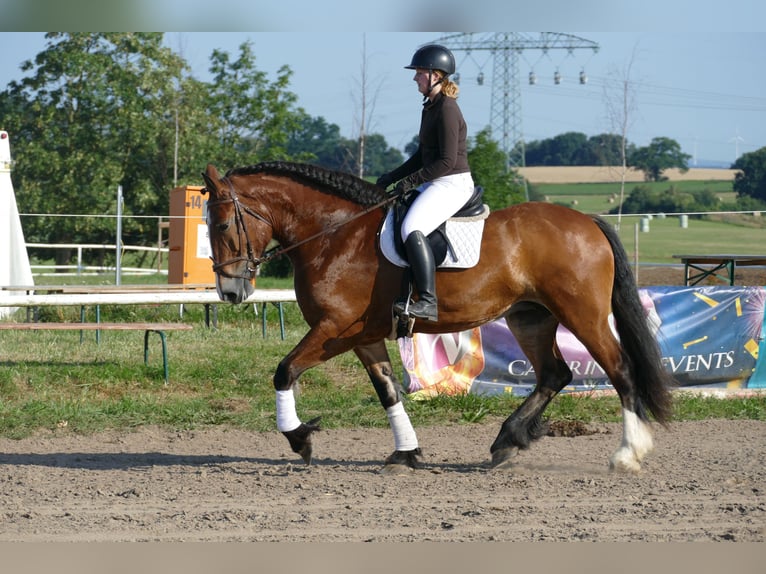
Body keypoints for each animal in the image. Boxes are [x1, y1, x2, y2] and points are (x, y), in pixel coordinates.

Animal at [201, 161, 674, 473]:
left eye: (221, 226)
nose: (230, 292)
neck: (334, 234)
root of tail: (588, 222)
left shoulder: (334, 329)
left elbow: (285, 371)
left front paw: (299, 438)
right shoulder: (363, 336)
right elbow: (389, 391)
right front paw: (406, 454)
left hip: (582, 314)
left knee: (620, 369)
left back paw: (627, 455)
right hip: (530, 318)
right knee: (554, 374)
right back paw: (506, 442)